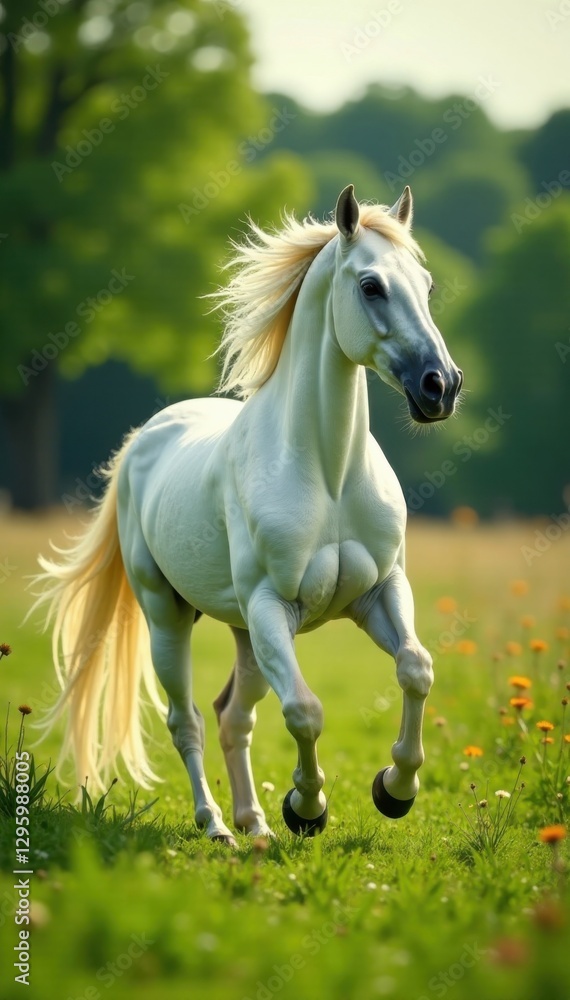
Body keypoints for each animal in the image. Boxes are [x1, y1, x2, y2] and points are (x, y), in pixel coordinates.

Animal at [34, 184, 463, 845]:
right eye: (371, 286)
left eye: (428, 284)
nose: (441, 386)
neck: (329, 476)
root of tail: (142, 441)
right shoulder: (270, 607)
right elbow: (305, 711)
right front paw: (307, 807)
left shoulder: (380, 592)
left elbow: (416, 668)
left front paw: (394, 790)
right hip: (172, 619)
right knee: (187, 720)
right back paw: (217, 825)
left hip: (245, 633)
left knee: (231, 716)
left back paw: (254, 823)